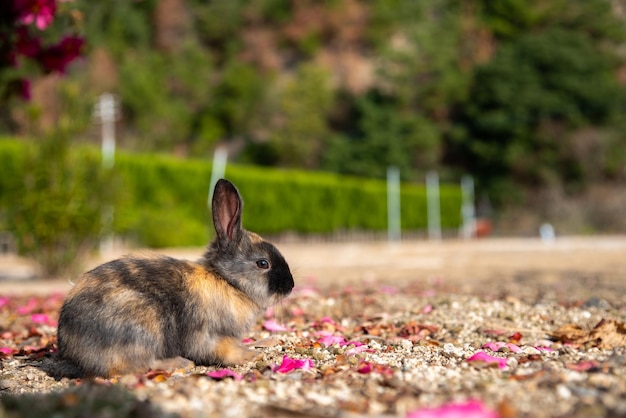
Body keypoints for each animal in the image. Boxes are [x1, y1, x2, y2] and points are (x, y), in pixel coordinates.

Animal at [57, 178, 294, 378]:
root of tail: (71, 345)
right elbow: (224, 350)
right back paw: (180, 363)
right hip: (143, 330)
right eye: (262, 263)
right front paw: (251, 355)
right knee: (135, 365)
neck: (228, 282)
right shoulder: (208, 335)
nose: (291, 286)